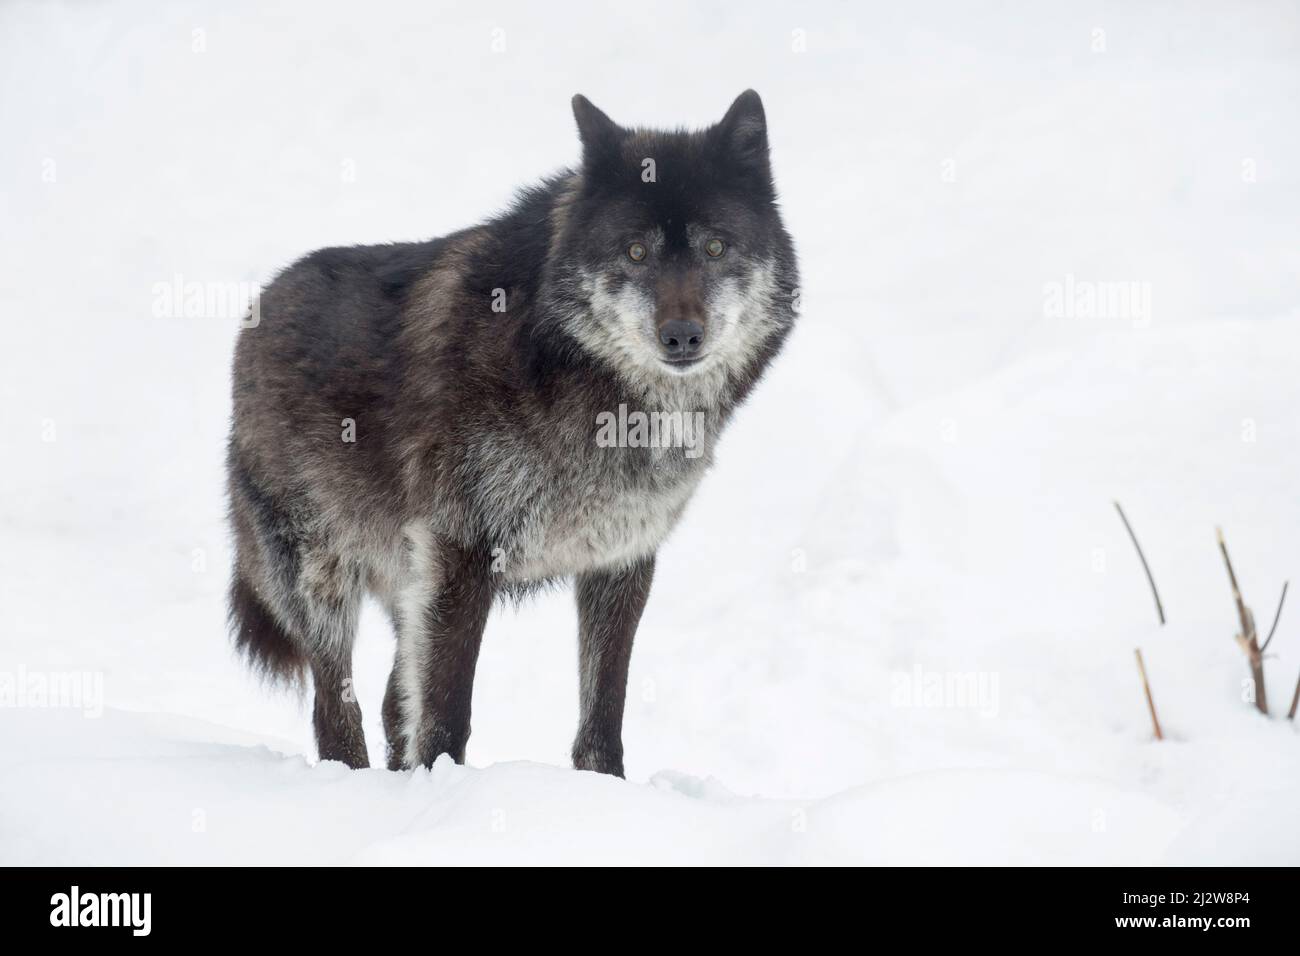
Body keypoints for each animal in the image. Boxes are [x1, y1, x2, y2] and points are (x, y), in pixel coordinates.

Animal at [228, 89, 795, 780]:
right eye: (636, 252)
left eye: (715, 247)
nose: (682, 336)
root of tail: (258, 310)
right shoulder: (462, 551)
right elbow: (447, 713)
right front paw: (442, 790)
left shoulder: (619, 560)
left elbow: (602, 719)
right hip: (323, 577)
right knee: (336, 711)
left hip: (405, 590)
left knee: (390, 702)